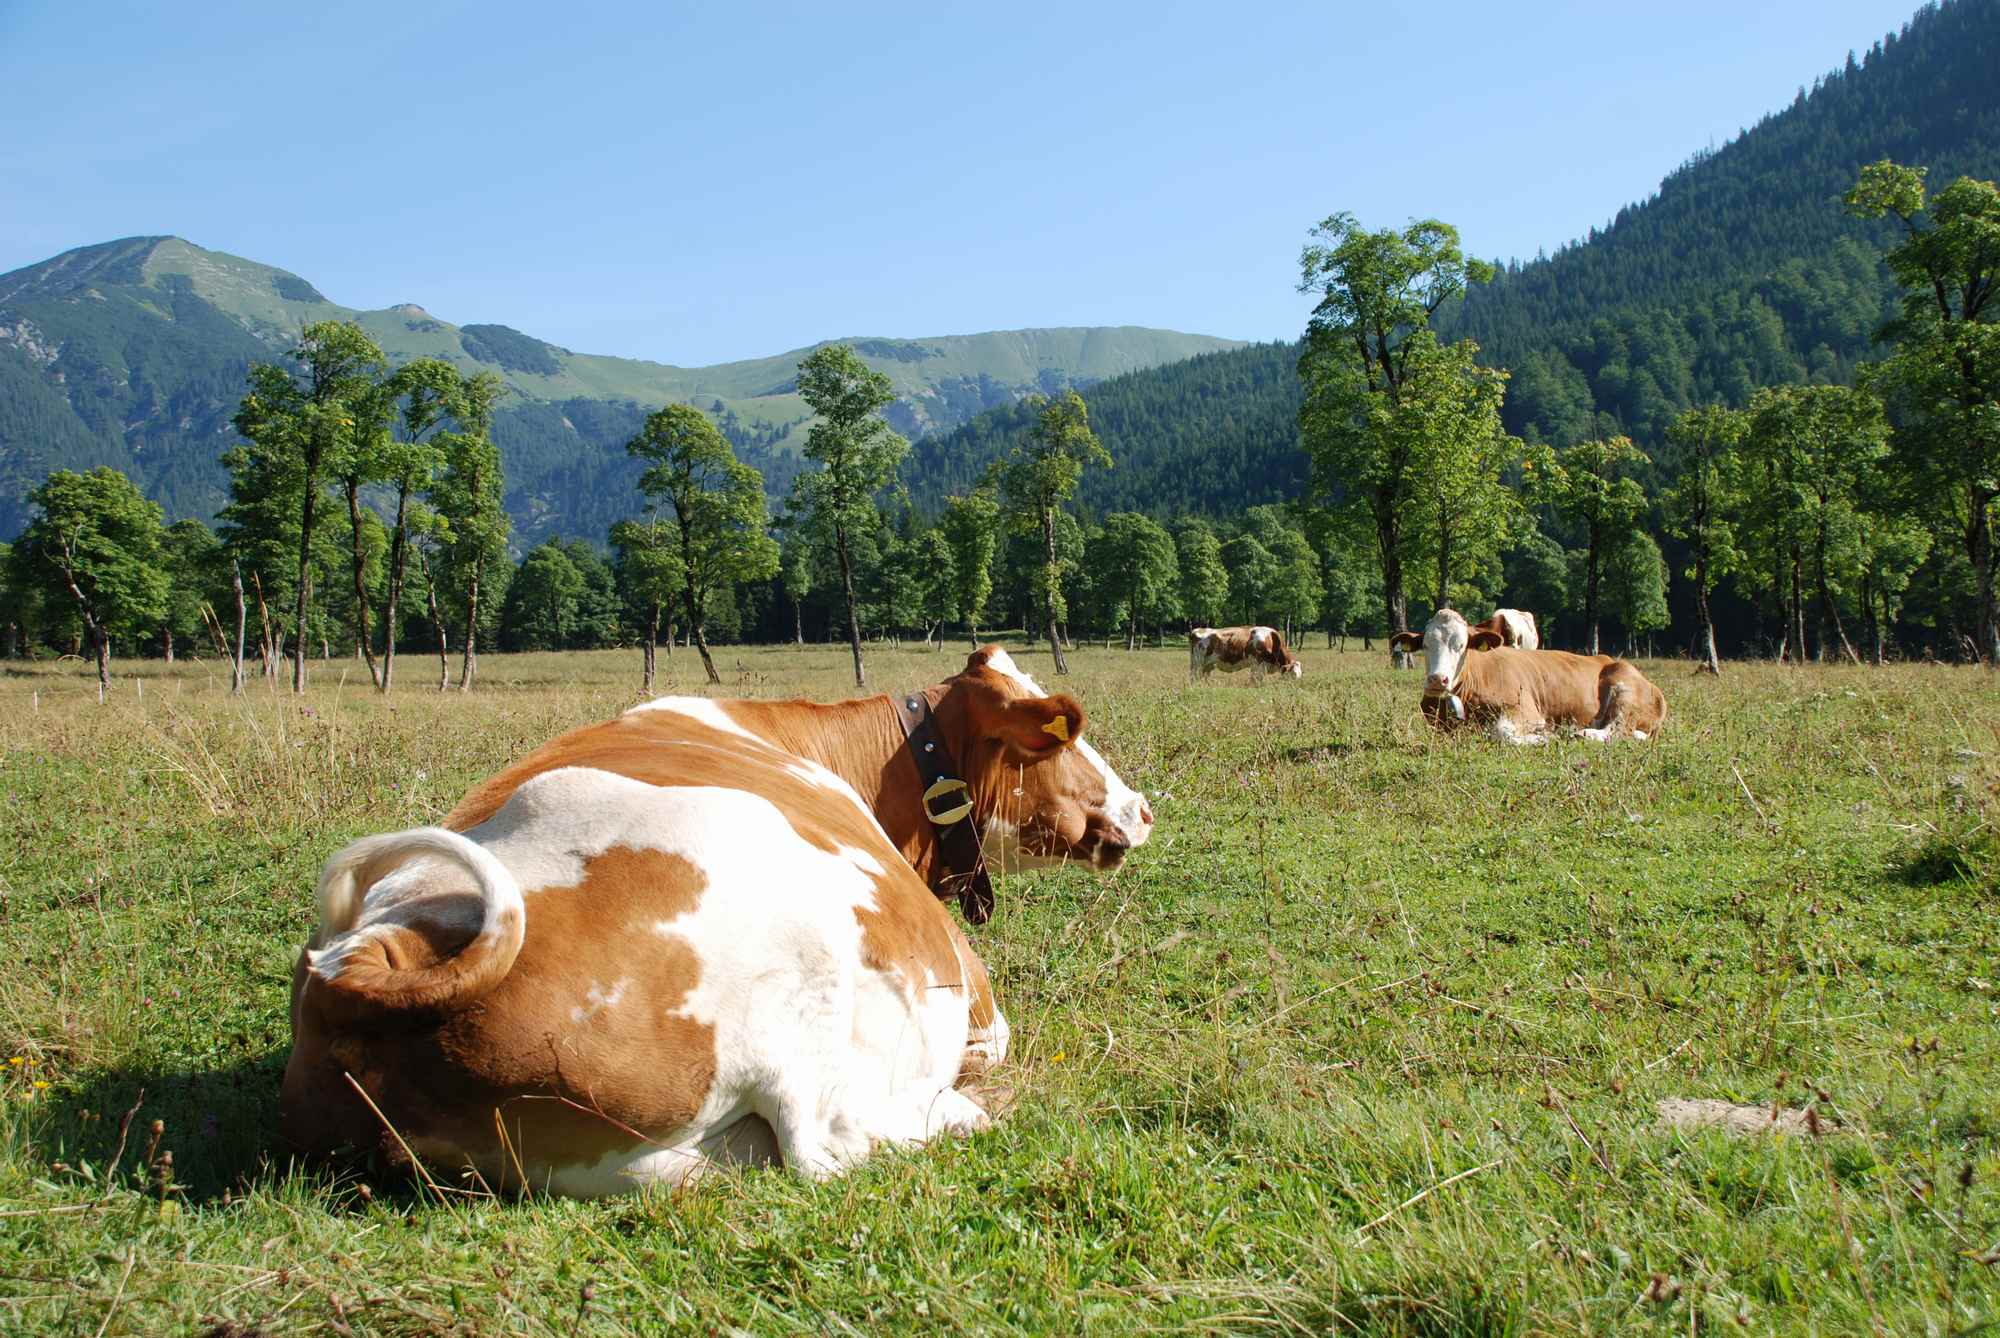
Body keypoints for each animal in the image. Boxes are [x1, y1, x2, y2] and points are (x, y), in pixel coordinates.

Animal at [282, 640, 1160, 1192]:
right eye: (1063, 743)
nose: (1142, 807)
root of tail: (373, 968)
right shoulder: (965, 987)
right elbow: (993, 1039)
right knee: (828, 1142)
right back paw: (961, 1113)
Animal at [1176, 628, 1304, 684]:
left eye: (1300, 674)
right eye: (1293, 674)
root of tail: (1196, 630)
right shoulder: (1258, 665)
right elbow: (1256, 680)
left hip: (1208, 665)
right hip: (1197, 663)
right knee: (1194, 678)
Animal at [1384, 604, 1664, 740]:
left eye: (1461, 645)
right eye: (1425, 645)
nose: (1436, 679)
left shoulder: (1527, 713)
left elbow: (1502, 732)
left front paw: (1542, 738)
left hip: (1624, 693)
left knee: (1616, 730)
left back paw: (1578, 734)